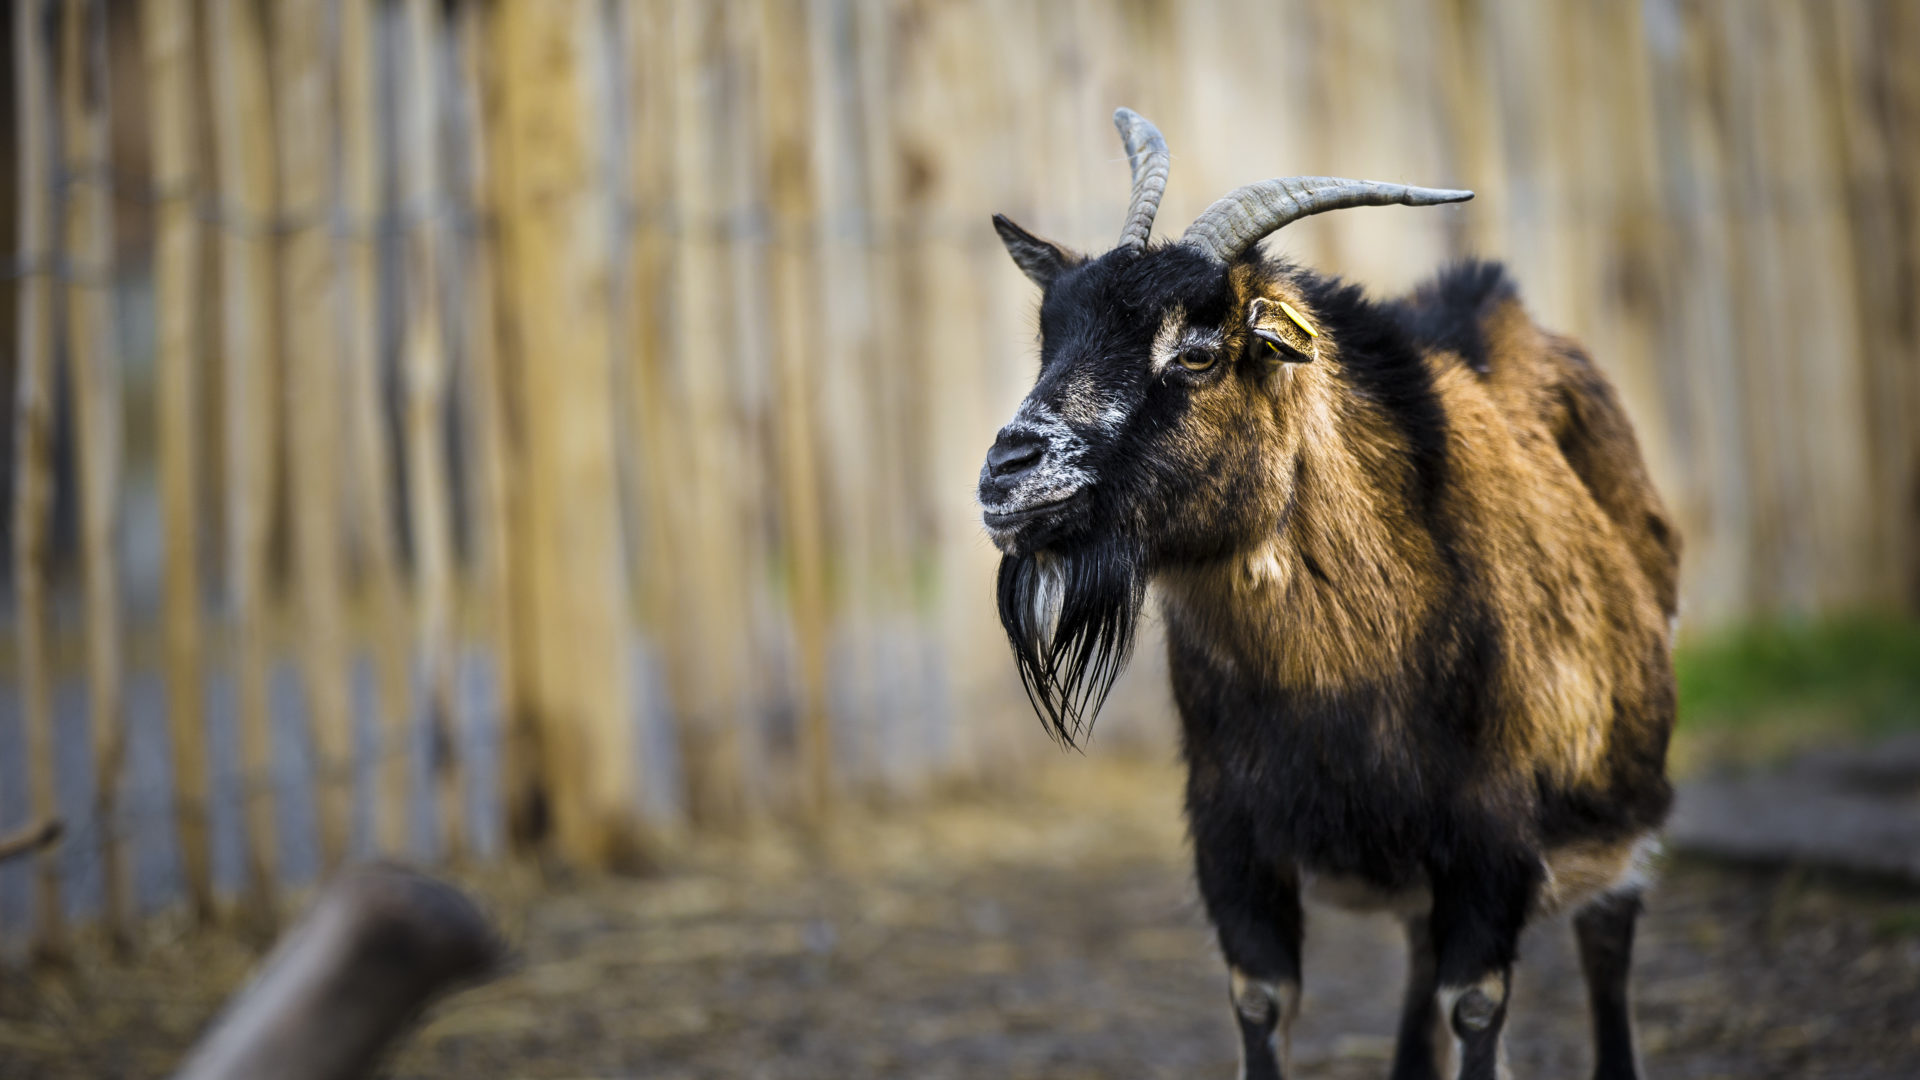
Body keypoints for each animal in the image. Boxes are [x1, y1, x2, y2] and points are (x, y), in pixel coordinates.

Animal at [983, 109, 1674, 1076]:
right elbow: (1263, 999)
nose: (1005, 475)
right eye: (1052, 337)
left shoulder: (1491, 837)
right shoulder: (1232, 834)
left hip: (1621, 806)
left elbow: (1476, 1006)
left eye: (1198, 352)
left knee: (1608, 935)